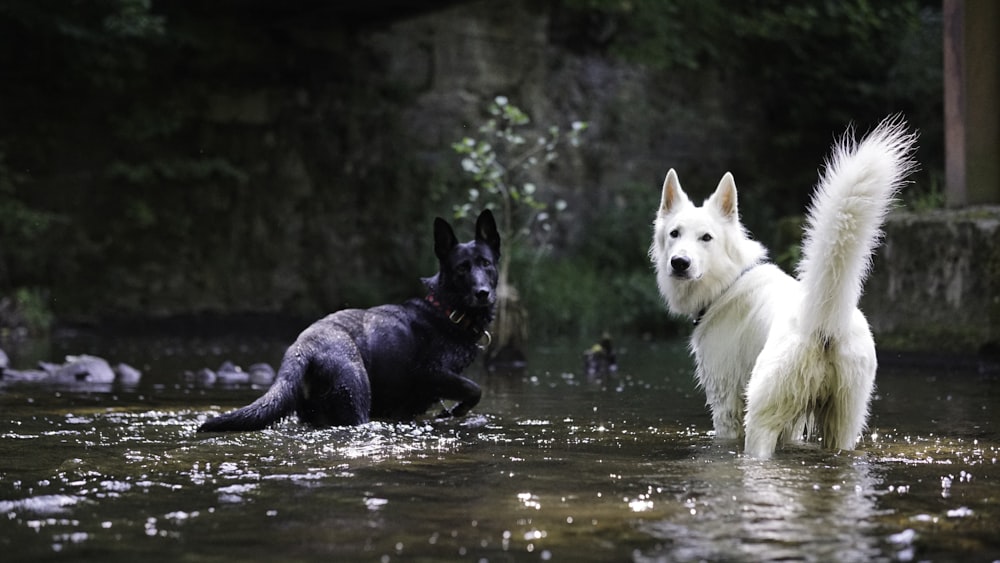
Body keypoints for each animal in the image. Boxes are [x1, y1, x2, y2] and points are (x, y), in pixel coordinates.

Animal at [199, 210, 500, 432]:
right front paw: (457, 410)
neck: (448, 312)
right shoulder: (431, 373)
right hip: (355, 395)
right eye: (462, 268)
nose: (482, 293)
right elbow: (474, 389)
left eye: (486, 264)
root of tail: (302, 348)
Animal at [652, 118, 916, 458]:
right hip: (843, 424)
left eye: (706, 238)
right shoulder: (795, 423)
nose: (679, 263)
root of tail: (824, 321)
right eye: (674, 233)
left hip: (761, 417)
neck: (729, 281)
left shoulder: (725, 405)